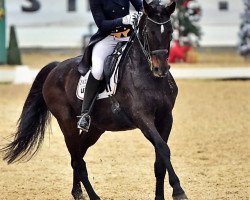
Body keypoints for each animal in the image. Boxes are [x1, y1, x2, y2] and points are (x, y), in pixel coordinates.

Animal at [1, 0, 188, 199]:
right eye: (149, 31)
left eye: (170, 31)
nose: (161, 69)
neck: (147, 75)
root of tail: (56, 67)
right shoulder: (142, 117)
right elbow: (163, 148)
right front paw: (179, 191)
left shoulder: (165, 117)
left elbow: (160, 159)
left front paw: (162, 195)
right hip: (67, 123)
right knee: (77, 160)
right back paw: (93, 195)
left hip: (96, 128)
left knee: (78, 155)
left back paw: (77, 192)